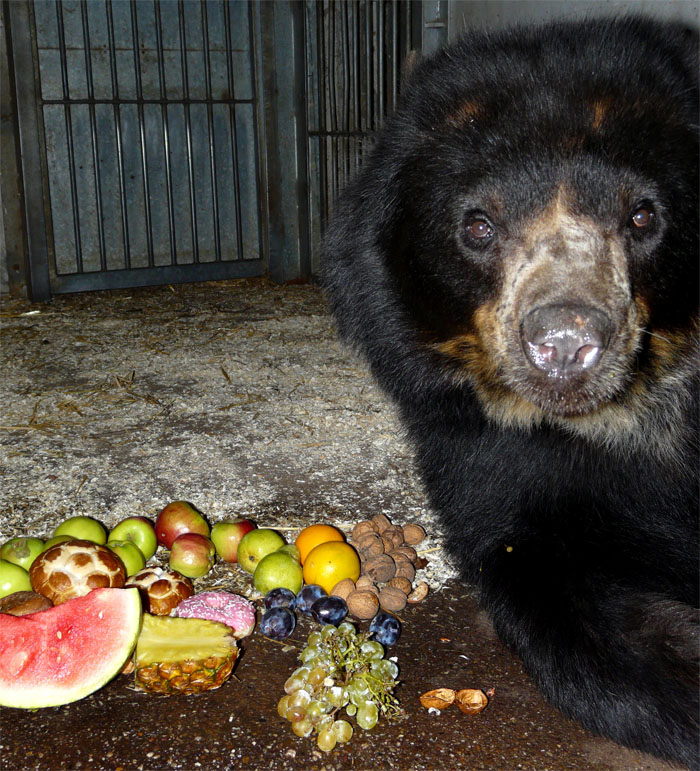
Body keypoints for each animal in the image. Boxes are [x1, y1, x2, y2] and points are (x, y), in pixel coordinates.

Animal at [322, 15, 700, 768]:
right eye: (478, 225)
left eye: (644, 217)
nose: (565, 344)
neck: (627, 419)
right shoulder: (491, 452)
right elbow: (541, 577)